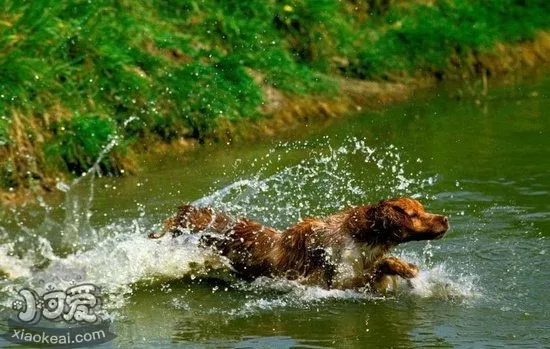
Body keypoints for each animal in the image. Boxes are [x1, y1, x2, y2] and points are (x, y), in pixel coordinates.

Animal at [150, 196, 448, 290]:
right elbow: (379, 267)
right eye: (413, 214)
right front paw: (406, 268)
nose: (445, 219)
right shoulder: (337, 280)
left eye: (423, 209)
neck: (360, 237)